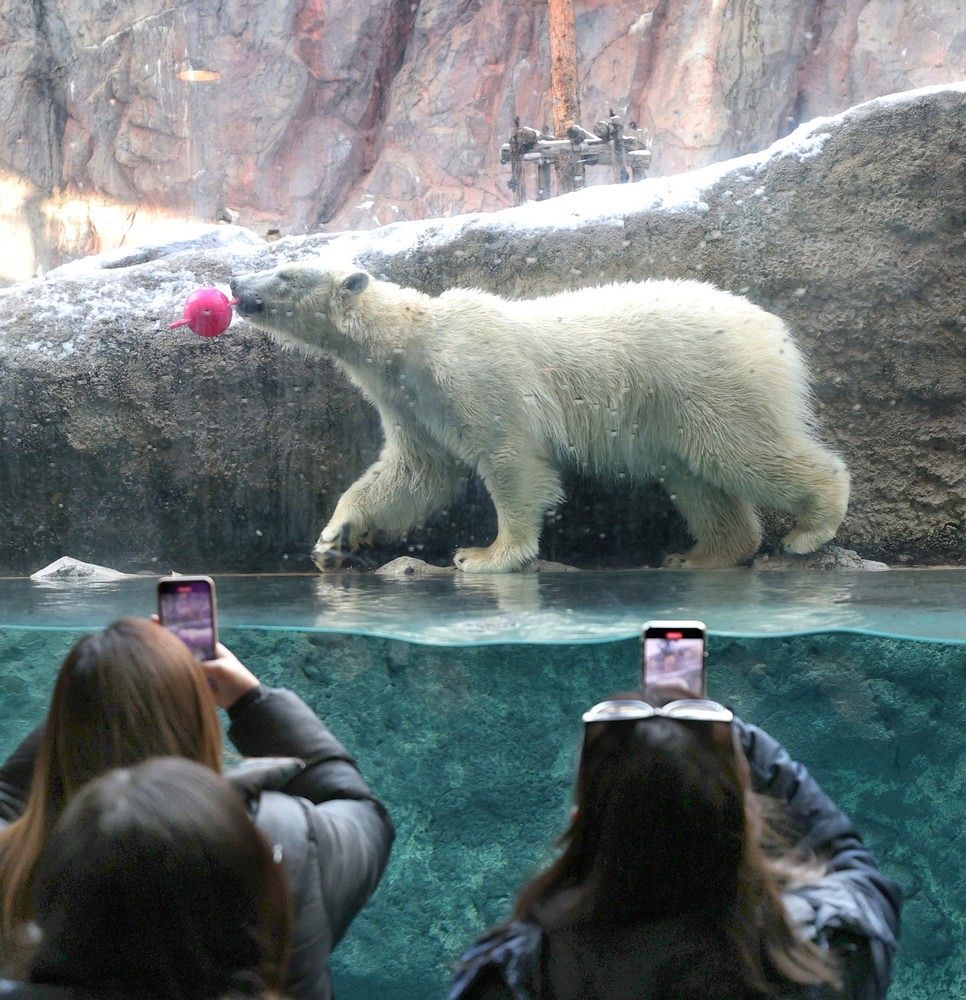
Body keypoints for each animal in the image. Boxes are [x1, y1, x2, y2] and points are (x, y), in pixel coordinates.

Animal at [231, 262, 852, 576]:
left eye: (285, 273)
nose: (236, 283)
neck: (411, 337)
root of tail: (773, 330)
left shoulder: (472, 372)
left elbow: (510, 459)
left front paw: (485, 554)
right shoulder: (409, 401)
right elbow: (416, 472)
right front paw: (335, 537)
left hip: (709, 377)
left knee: (741, 450)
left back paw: (811, 527)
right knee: (696, 477)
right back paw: (700, 553)